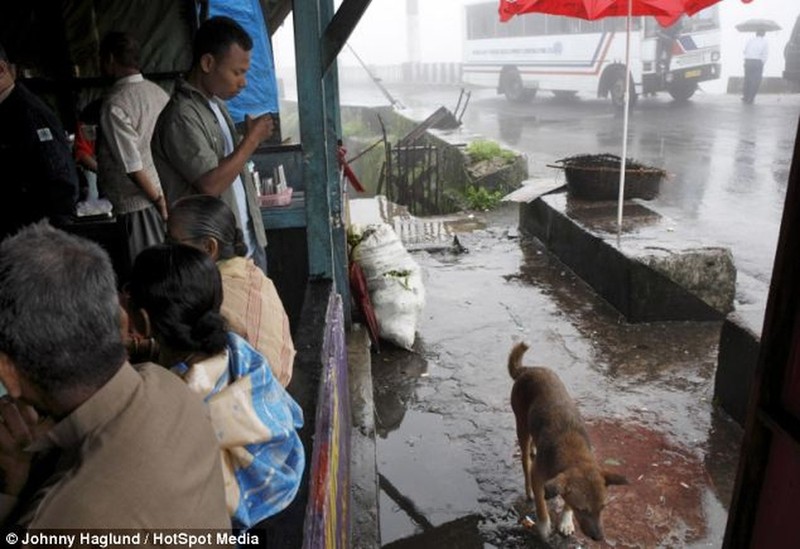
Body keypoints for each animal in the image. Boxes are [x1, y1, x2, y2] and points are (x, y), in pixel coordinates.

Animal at [510, 342, 628, 540]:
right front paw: (544, 526)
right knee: (525, 462)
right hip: (522, 427)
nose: (599, 538)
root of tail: (528, 369)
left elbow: (566, 503)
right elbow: (541, 505)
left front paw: (565, 521)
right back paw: (528, 487)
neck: (575, 454)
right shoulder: (538, 476)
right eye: (583, 509)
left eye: (603, 507)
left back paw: (535, 448)